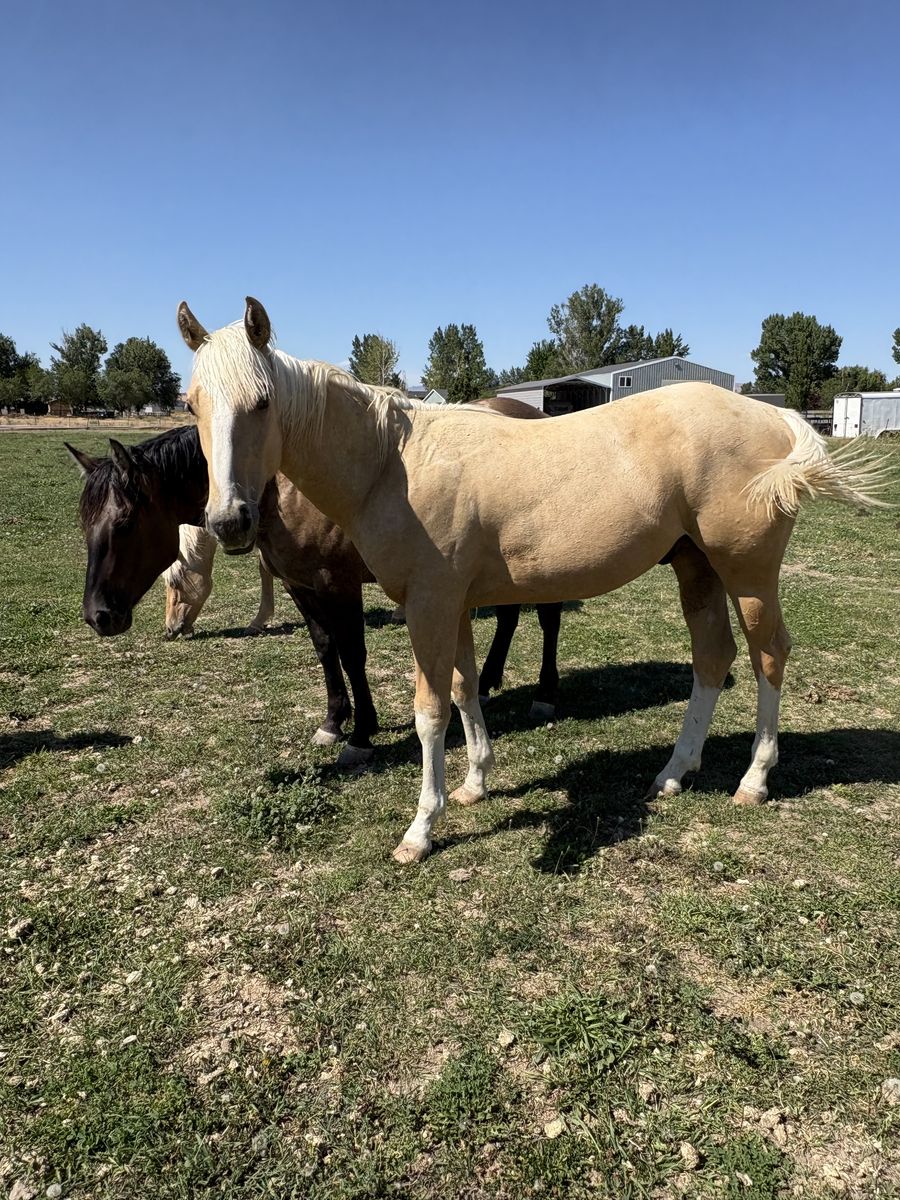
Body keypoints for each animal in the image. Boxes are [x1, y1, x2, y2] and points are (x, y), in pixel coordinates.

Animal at [179, 298, 887, 864]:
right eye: (194, 404)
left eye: (262, 402)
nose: (230, 520)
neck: (392, 464)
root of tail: (774, 419)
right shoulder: (455, 606)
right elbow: (466, 689)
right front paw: (474, 783)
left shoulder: (429, 607)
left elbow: (431, 712)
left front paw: (421, 829)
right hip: (698, 570)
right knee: (713, 659)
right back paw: (673, 773)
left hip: (748, 575)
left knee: (769, 658)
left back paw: (753, 781)